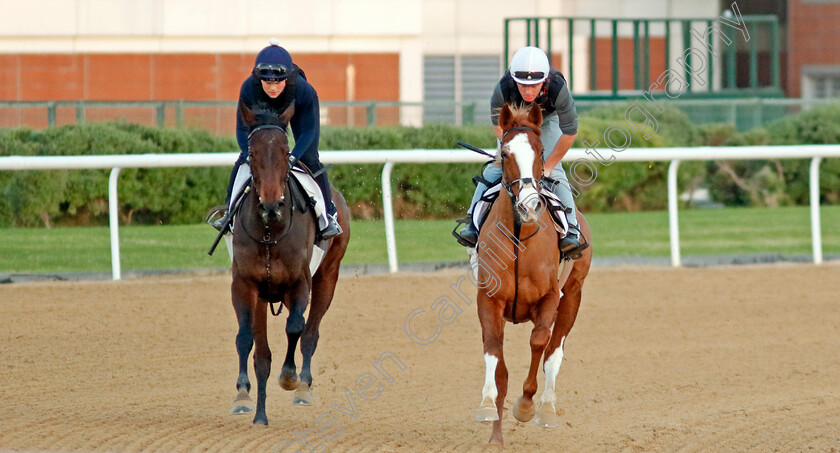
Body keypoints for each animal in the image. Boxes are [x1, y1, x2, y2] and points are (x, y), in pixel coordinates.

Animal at [228, 101, 350, 424]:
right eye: (252, 153)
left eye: (285, 152)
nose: (271, 206)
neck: (271, 231)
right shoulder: (245, 284)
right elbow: (247, 341)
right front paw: (247, 400)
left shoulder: (300, 282)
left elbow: (296, 327)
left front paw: (289, 377)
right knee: (261, 349)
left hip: (328, 275)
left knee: (311, 332)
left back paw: (303, 387)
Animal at [476, 103, 592, 444]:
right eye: (504, 153)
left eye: (541, 151)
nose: (530, 206)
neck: (519, 236)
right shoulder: (489, 297)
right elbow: (493, 349)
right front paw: (488, 408)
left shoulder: (550, 296)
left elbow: (540, 342)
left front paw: (526, 406)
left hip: (574, 293)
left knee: (554, 352)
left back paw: (547, 410)